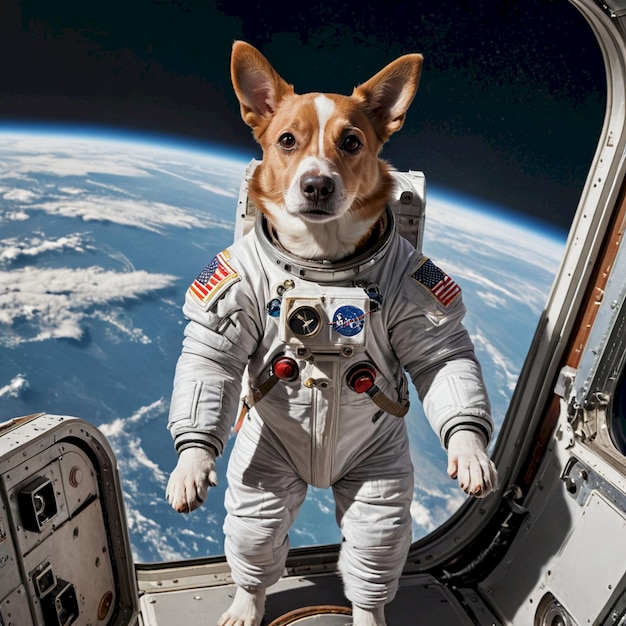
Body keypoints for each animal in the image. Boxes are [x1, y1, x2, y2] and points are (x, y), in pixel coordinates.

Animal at [167, 42, 498, 624]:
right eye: (287, 140)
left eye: (351, 142)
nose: (317, 184)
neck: (322, 262)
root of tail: (319, 477)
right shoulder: (236, 278)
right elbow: (213, 355)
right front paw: (192, 464)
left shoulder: (416, 282)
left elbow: (441, 354)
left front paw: (470, 451)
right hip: (265, 469)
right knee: (257, 533)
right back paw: (245, 604)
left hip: (379, 478)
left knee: (375, 544)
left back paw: (368, 611)